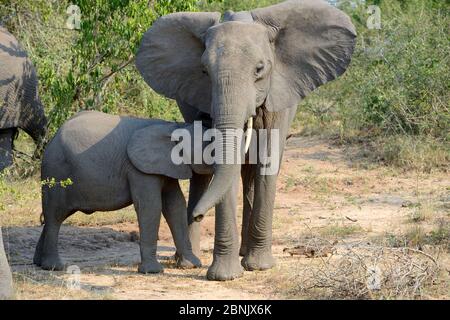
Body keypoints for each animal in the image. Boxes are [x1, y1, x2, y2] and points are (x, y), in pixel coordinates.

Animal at [34, 111, 208, 274]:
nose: (198, 216)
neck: (175, 126)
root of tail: (52, 139)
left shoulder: (165, 167)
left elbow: (175, 205)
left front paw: (192, 265)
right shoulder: (139, 169)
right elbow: (150, 206)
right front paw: (153, 271)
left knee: (54, 217)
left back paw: (38, 263)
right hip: (56, 171)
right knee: (56, 216)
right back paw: (54, 267)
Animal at [135, 0, 356, 280]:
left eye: (259, 70)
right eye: (204, 71)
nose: (198, 215)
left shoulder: (279, 92)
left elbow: (267, 163)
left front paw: (259, 267)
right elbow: (224, 163)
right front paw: (225, 276)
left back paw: (242, 253)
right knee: (204, 174)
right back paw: (187, 262)